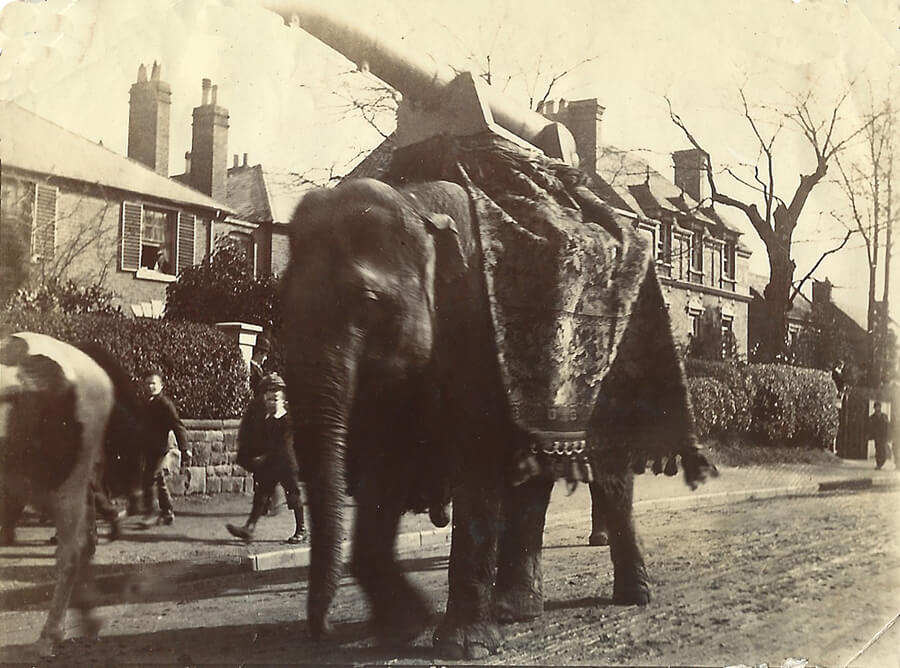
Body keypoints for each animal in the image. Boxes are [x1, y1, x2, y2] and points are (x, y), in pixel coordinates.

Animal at [282, 134, 716, 656]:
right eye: (278, 299)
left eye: (367, 304)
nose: (320, 631)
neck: (418, 203)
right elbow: (386, 469)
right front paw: (404, 625)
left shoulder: (480, 335)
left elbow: (475, 462)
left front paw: (460, 646)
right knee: (535, 481)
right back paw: (517, 609)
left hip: (615, 377)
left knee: (610, 475)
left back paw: (632, 596)